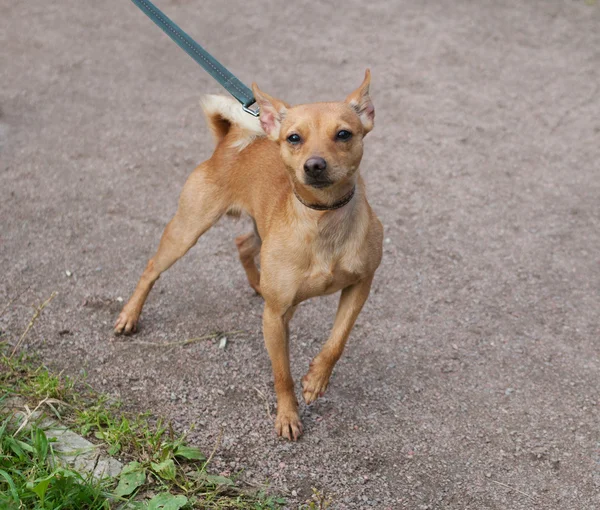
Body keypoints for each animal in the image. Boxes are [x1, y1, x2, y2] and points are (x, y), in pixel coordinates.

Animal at [115, 69, 382, 440]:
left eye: (343, 134)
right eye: (294, 138)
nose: (314, 165)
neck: (323, 218)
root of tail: (230, 142)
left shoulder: (360, 286)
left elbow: (336, 342)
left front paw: (316, 380)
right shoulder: (275, 317)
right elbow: (282, 374)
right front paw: (287, 415)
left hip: (259, 231)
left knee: (242, 244)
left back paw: (257, 283)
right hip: (186, 231)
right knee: (152, 267)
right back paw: (129, 315)